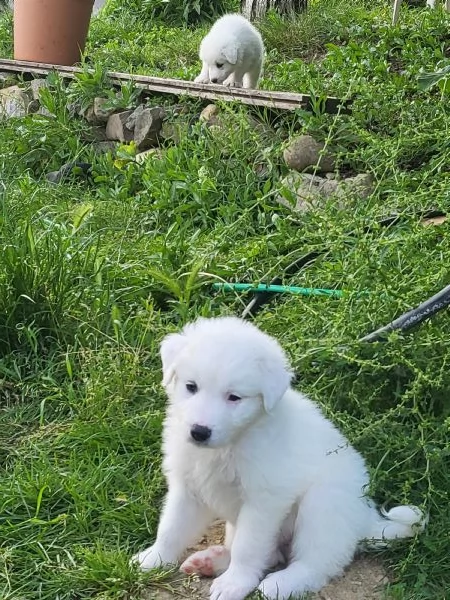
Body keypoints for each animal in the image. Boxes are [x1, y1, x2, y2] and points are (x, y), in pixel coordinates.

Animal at [133, 316, 426, 596]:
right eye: (191, 387)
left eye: (234, 397)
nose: (199, 432)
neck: (231, 445)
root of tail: (365, 519)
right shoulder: (187, 488)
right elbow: (171, 528)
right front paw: (152, 559)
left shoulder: (264, 500)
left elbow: (248, 547)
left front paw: (234, 584)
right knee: (269, 554)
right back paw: (210, 561)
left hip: (323, 507)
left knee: (315, 563)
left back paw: (280, 584)